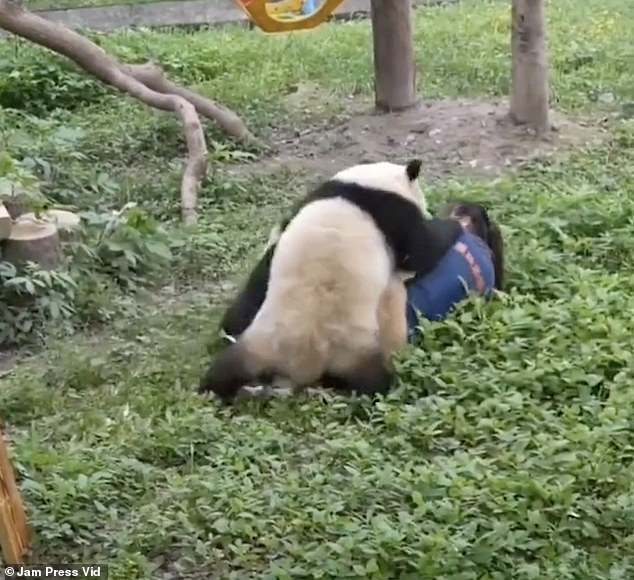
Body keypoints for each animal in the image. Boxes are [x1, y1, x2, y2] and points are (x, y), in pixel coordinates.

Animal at [200, 159, 462, 404]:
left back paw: (211, 389)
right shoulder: (394, 215)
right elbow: (422, 250)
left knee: (225, 369)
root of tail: (304, 361)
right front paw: (454, 223)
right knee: (374, 382)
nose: (428, 210)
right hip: (353, 347)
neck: (369, 183)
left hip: (262, 343)